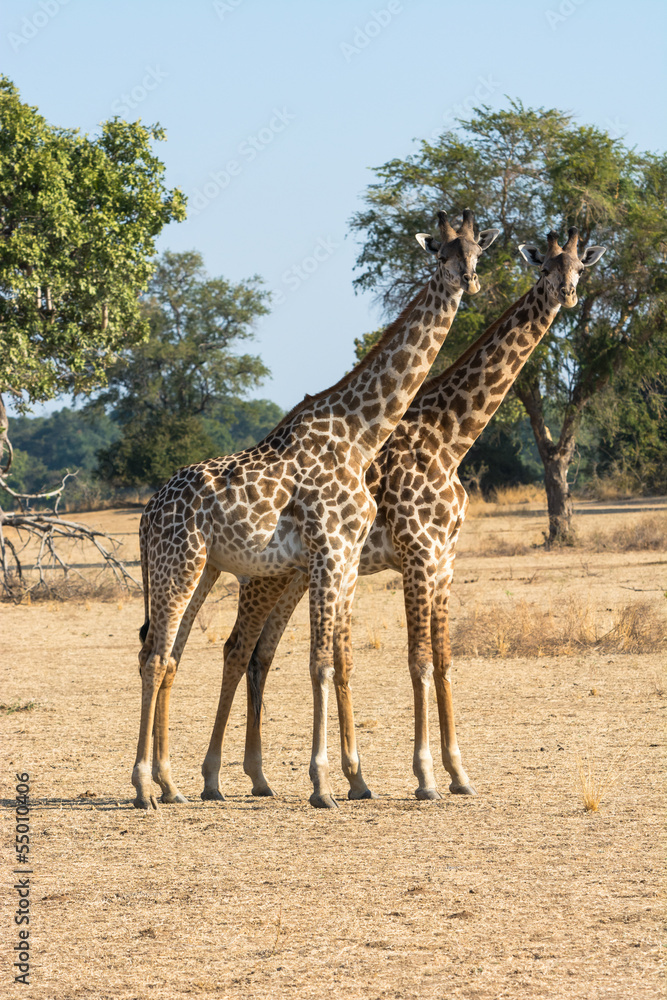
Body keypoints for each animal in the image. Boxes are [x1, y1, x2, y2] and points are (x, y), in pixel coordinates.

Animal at [132, 209, 500, 810]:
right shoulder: (331, 551)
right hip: (179, 567)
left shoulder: (346, 557)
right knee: (159, 657)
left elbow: (332, 661)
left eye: (475, 249)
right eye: (440, 252)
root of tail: (144, 518)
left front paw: (349, 779)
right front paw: (326, 784)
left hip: (200, 571)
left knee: (168, 655)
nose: (466, 281)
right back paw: (146, 786)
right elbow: (321, 663)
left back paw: (172, 785)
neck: (360, 433)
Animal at [211, 226, 606, 801]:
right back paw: (217, 777)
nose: (568, 294)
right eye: (546, 267)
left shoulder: (445, 557)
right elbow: (417, 661)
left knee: (263, 653)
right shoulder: (418, 552)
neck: (451, 436)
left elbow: (441, 661)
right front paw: (425, 777)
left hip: (296, 575)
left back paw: (261, 776)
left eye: (579, 266)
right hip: (270, 576)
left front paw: (458, 774)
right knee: (237, 649)